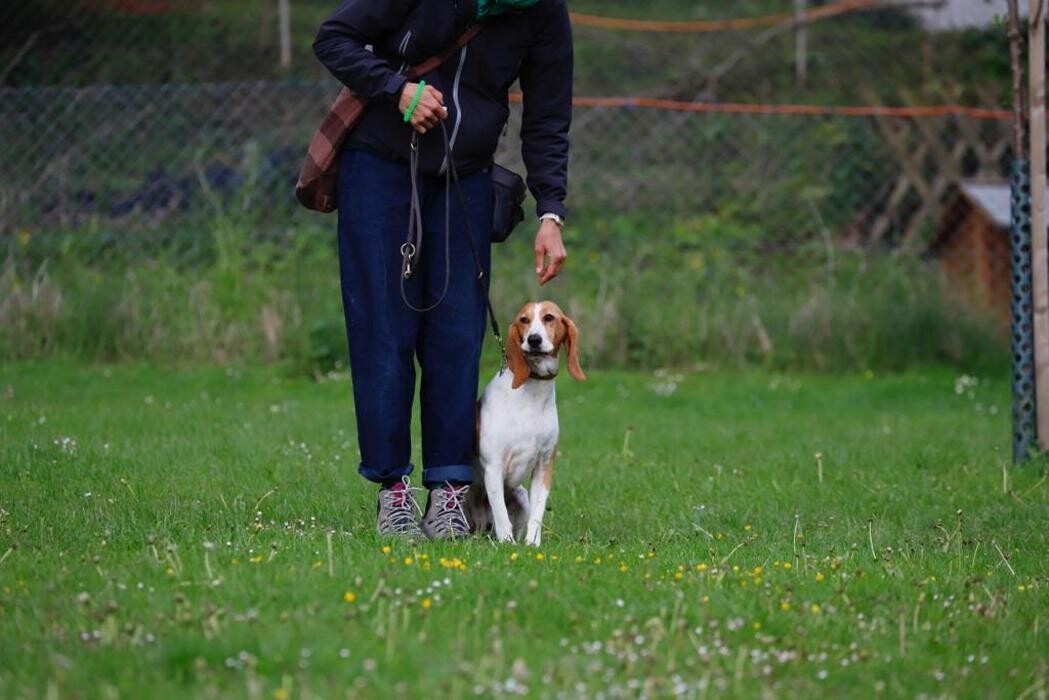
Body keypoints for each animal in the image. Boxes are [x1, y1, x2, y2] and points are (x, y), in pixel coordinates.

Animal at [465, 298, 587, 545]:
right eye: (524, 320)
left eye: (549, 317)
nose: (534, 339)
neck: (532, 393)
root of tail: (483, 528)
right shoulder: (494, 466)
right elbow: (501, 513)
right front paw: (507, 543)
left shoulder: (544, 466)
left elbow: (538, 513)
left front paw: (532, 543)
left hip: (521, 497)